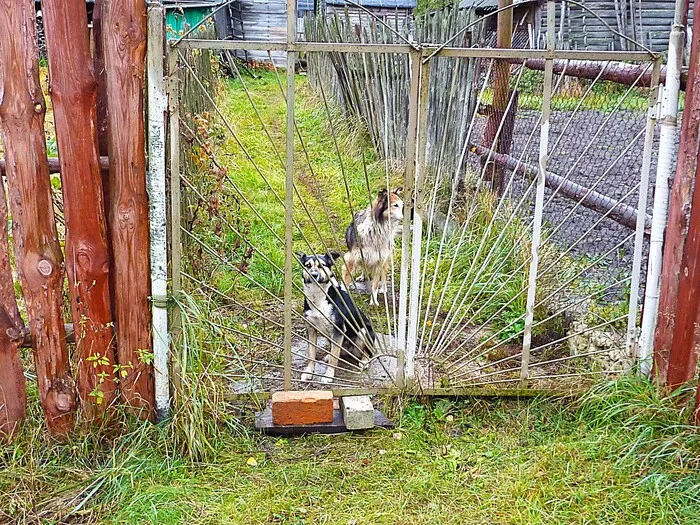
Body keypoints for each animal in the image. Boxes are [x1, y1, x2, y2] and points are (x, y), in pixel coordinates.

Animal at [300, 250, 378, 380]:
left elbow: (334, 358)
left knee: (367, 352)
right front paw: (309, 371)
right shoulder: (310, 328)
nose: (314, 275)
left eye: (322, 265)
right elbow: (311, 354)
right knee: (338, 352)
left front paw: (328, 376)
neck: (318, 297)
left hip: (363, 332)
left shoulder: (338, 329)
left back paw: (364, 361)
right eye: (308, 265)